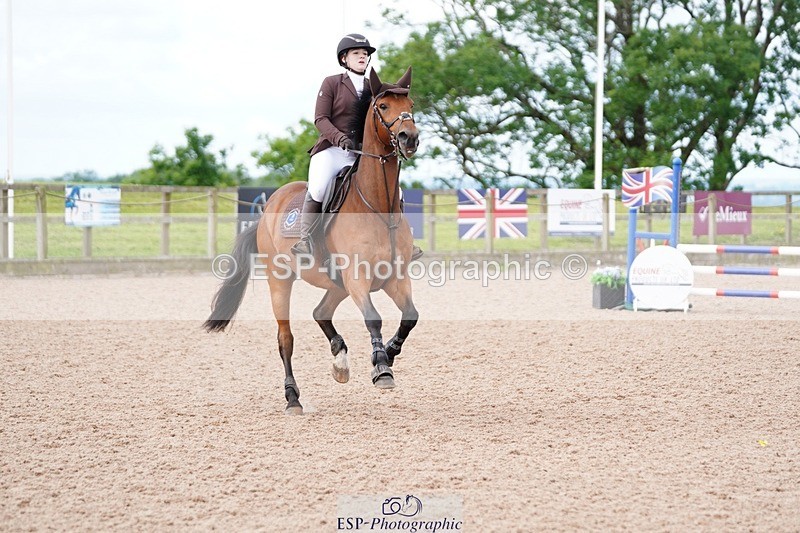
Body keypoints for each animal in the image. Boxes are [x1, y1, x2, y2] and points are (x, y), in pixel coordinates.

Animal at [203, 67, 420, 414]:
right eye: (383, 106)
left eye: (410, 103)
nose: (409, 138)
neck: (376, 205)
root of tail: (268, 207)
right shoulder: (358, 278)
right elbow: (373, 318)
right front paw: (380, 366)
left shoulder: (394, 278)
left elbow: (410, 317)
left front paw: (388, 353)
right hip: (281, 281)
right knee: (286, 339)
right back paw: (293, 397)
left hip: (336, 284)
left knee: (321, 312)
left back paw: (340, 362)